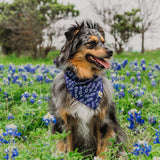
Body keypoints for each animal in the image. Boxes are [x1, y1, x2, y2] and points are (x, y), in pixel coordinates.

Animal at [49, 20, 125, 159]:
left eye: (103, 42)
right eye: (91, 43)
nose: (111, 51)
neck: (83, 80)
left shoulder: (103, 120)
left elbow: (102, 146)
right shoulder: (65, 121)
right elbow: (66, 145)